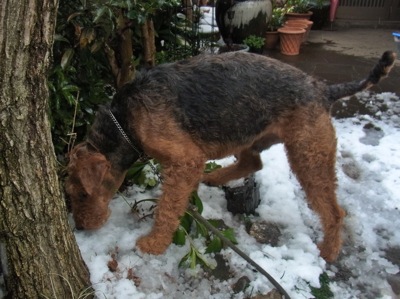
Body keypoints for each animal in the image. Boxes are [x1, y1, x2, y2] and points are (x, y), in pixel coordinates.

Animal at [65, 51, 394, 262]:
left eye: (80, 193)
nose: (80, 227)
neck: (125, 122)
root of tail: (323, 89)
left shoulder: (185, 160)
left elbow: (167, 208)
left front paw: (154, 244)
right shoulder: (186, 163)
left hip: (308, 153)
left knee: (334, 211)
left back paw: (328, 251)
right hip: (249, 134)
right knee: (253, 162)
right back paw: (214, 176)